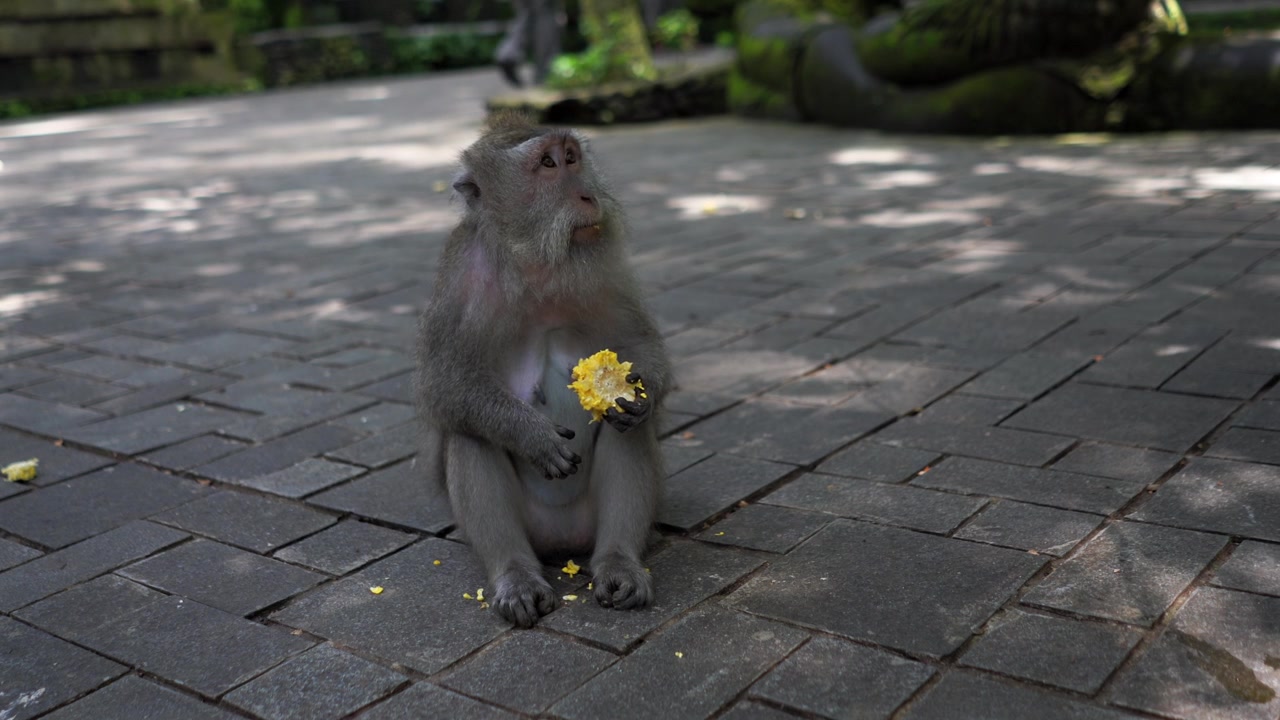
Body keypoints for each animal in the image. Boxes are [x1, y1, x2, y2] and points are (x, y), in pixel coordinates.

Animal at [413, 111, 671, 628]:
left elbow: (639, 346)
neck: (535, 263)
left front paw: (641, 394)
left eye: (572, 158)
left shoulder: (606, 271)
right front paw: (528, 434)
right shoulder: (459, 278)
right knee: (469, 434)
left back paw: (619, 563)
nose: (588, 195)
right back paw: (515, 576)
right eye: (548, 164)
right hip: (531, 528)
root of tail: (562, 544)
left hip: (590, 523)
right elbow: (443, 387)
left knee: (628, 431)